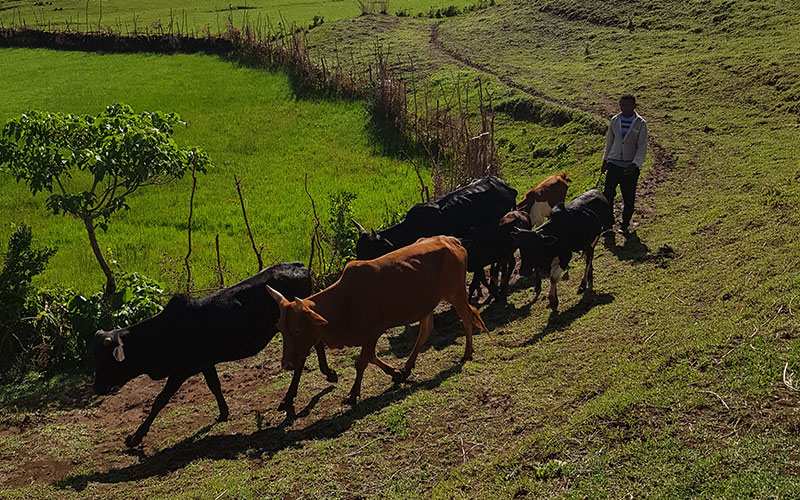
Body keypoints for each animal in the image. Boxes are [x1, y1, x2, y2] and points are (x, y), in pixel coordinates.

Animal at [94, 264, 338, 448]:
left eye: (107, 361)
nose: (96, 388)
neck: (161, 333)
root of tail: (299, 266)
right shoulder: (206, 363)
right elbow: (214, 386)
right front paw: (223, 412)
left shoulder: (180, 371)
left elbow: (159, 401)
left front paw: (135, 437)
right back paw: (327, 373)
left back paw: (290, 396)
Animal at [266, 236, 488, 416]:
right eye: (281, 329)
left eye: (297, 330)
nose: (286, 364)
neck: (345, 299)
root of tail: (452, 240)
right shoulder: (366, 336)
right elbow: (371, 358)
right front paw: (396, 373)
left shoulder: (373, 332)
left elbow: (362, 362)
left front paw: (353, 394)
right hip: (426, 305)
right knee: (426, 330)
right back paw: (407, 367)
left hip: (456, 293)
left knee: (467, 317)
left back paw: (467, 353)